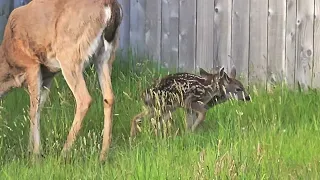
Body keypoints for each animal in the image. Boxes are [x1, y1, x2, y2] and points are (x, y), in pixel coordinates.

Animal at [0, 0, 122, 162]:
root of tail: (110, 5)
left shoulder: (32, 65)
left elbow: (33, 110)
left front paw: (35, 155)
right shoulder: (48, 75)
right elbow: (38, 108)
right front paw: (31, 150)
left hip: (70, 54)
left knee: (84, 99)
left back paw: (64, 153)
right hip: (106, 56)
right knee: (109, 97)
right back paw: (102, 156)